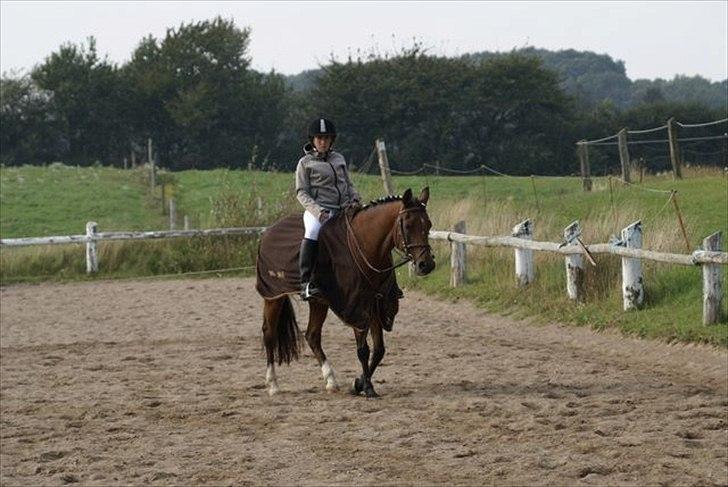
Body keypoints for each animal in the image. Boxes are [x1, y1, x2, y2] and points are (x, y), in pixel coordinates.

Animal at [256, 186, 436, 396]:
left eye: (428, 224)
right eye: (407, 225)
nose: (426, 265)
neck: (367, 246)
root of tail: (268, 232)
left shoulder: (375, 304)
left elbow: (379, 350)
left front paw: (358, 383)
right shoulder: (356, 307)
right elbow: (363, 350)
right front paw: (367, 388)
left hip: (318, 302)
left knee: (312, 336)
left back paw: (331, 380)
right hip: (273, 296)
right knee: (269, 333)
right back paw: (273, 384)